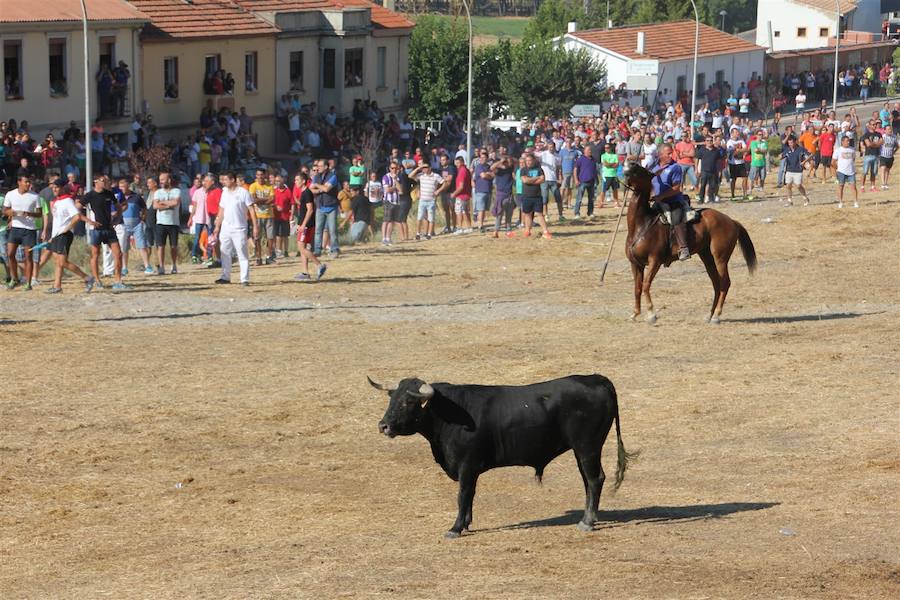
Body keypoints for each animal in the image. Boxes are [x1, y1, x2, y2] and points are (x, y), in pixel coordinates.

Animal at [370, 372, 636, 536]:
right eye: (392, 399)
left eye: (408, 402)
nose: (383, 426)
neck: (448, 414)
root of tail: (597, 379)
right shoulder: (470, 469)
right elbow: (471, 495)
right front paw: (466, 523)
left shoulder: (467, 466)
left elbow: (463, 495)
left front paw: (455, 528)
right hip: (582, 451)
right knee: (587, 480)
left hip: (587, 447)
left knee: (595, 478)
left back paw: (588, 522)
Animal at [624, 164, 756, 324]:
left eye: (642, 170)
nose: (628, 167)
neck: (642, 224)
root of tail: (732, 221)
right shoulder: (636, 264)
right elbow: (637, 288)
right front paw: (635, 313)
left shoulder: (654, 260)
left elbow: (645, 285)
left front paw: (651, 314)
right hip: (707, 257)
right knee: (716, 284)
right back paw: (710, 315)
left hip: (720, 258)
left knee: (725, 283)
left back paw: (717, 316)